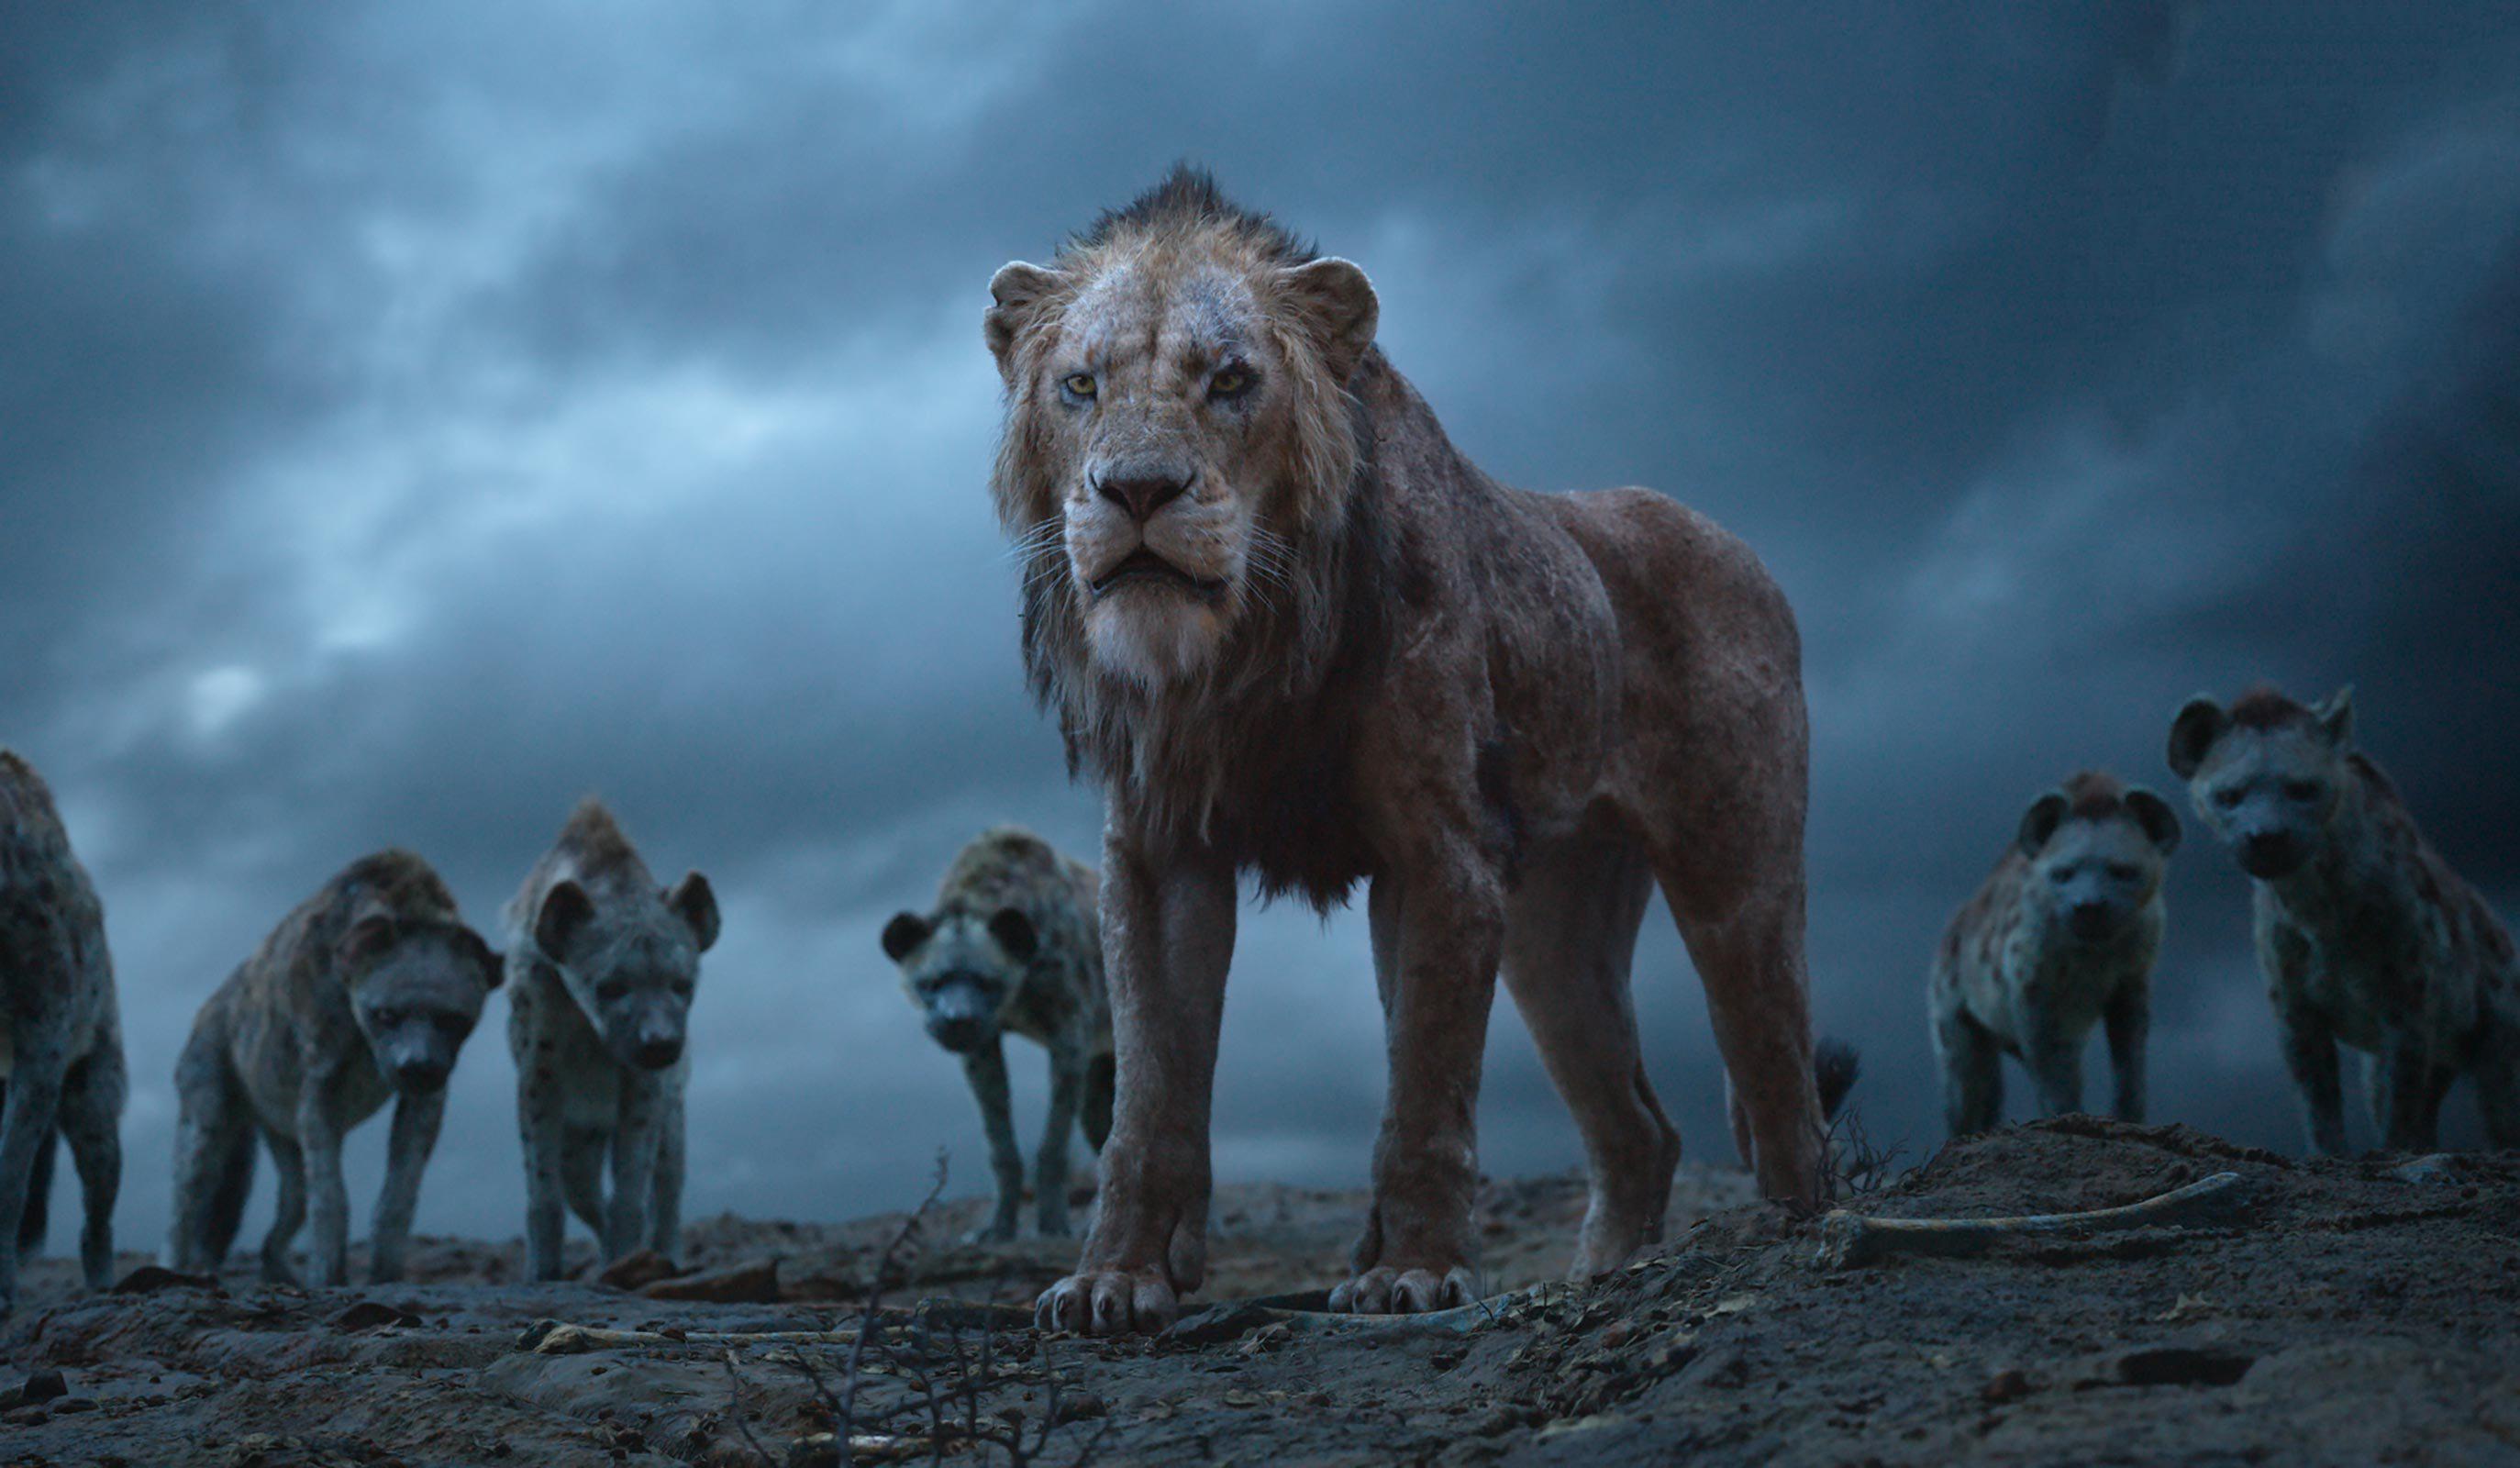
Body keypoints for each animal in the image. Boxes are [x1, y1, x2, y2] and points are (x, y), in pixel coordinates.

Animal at [986, 168, 1834, 1335]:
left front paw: (1415, 1271)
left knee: (1775, 1066)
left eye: (1231, 380)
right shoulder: (1156, 857)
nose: (1137, 490)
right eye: (1078, 384)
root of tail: (1747, 554)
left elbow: (1424, 1079)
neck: (1244, 650)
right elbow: (1149, 1092)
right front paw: (1115, 1277)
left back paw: (1799, 1234)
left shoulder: (1438, 849)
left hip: (1732, 873)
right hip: (1552, 935)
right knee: (1639, 1129)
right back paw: (1603, 1274)